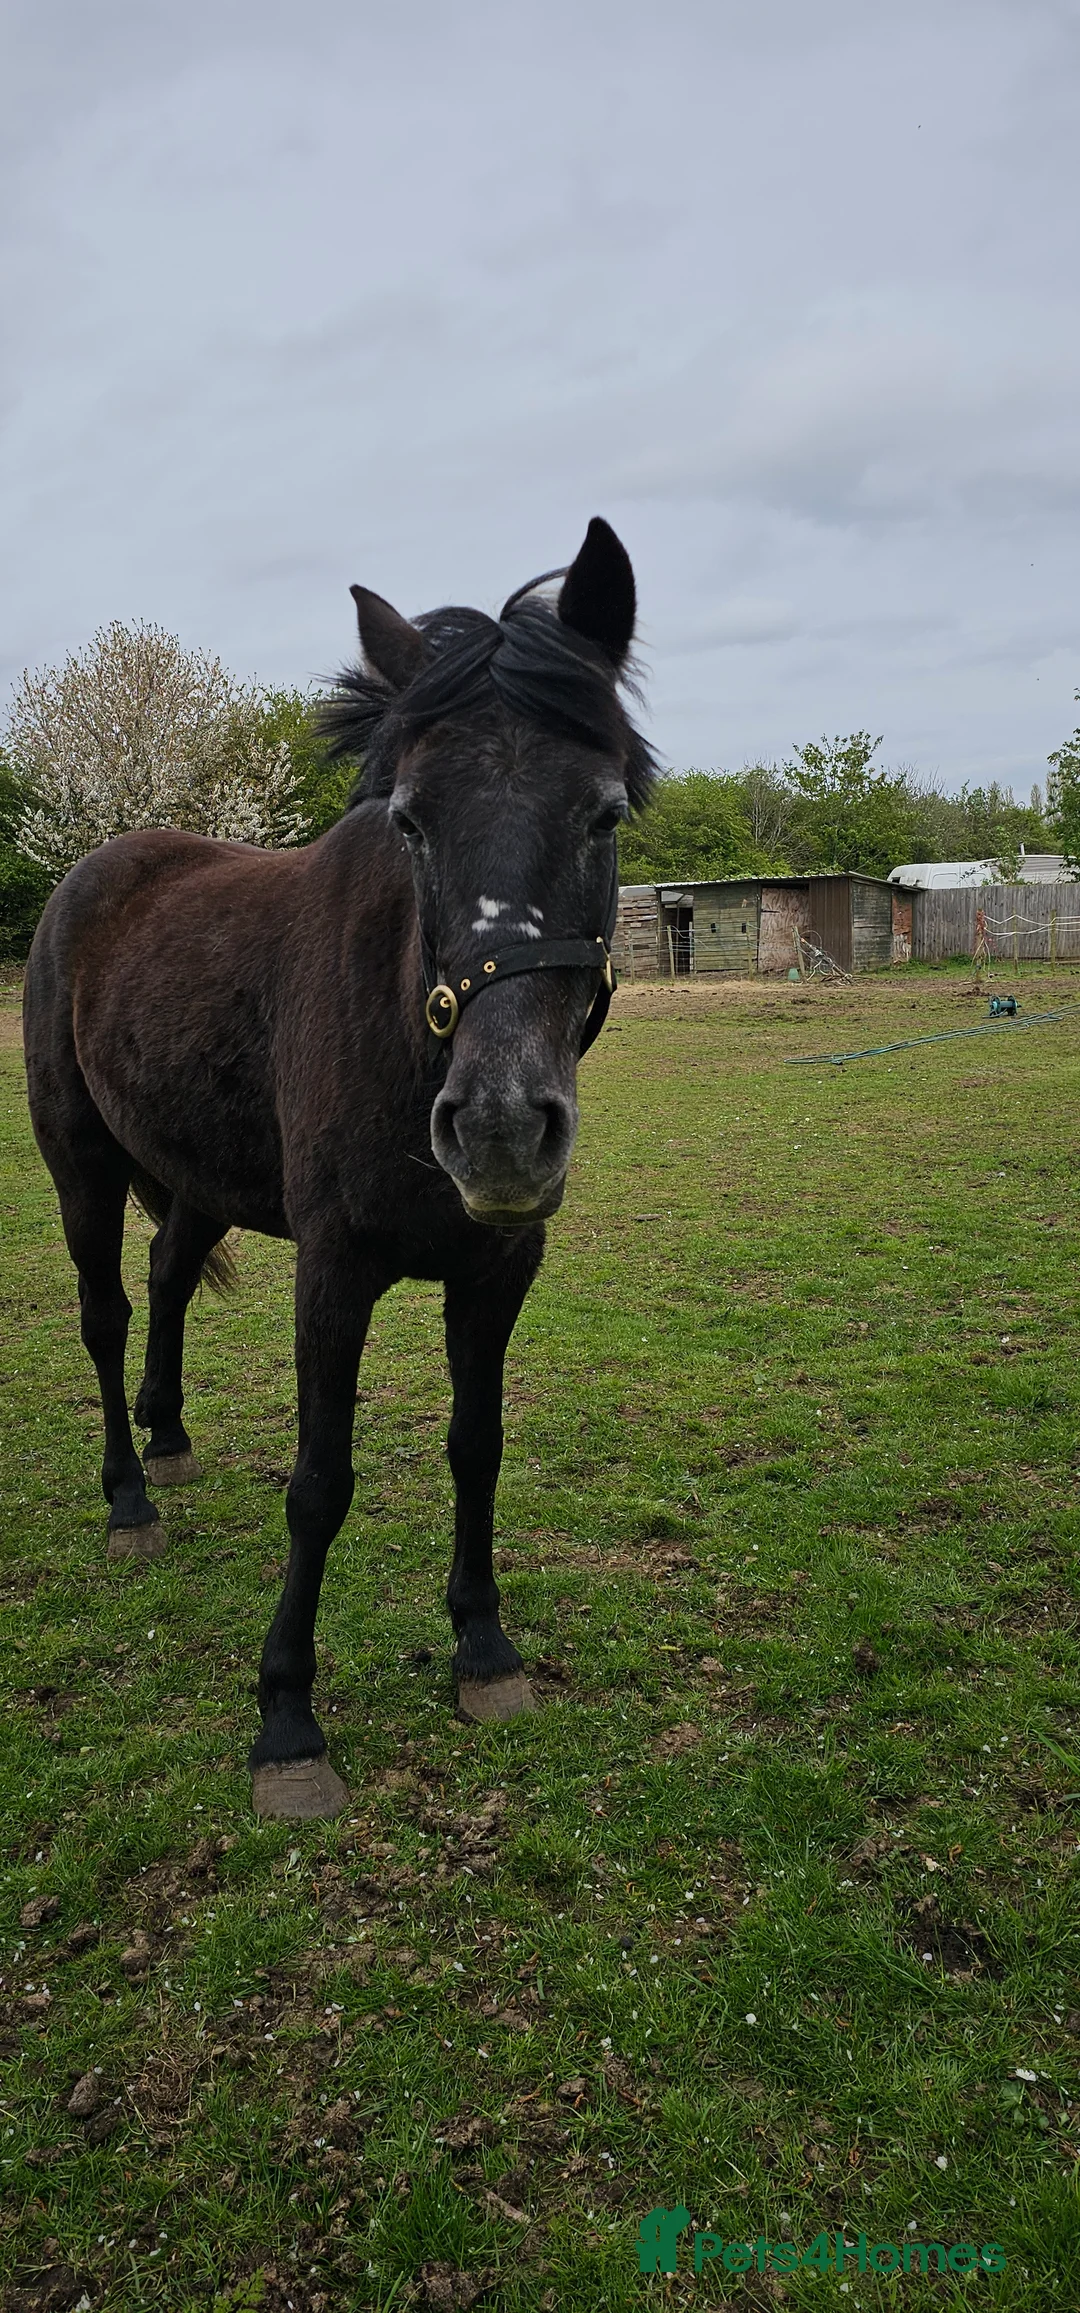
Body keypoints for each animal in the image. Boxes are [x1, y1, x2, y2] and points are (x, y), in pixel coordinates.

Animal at [22, 517, 656, 1821]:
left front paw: (483, 1649)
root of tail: (96, 872)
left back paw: (170, 1436)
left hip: (199, 1181)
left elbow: (479, 1444)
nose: (501, 1126)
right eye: (410, 820)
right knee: (107, 1315)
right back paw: (129, 1497)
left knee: (166, 1280)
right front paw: (286, 1721)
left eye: (607, 814)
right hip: (81, 1167)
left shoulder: (500, 1268)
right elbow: (319, 1482)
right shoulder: (334, 1270)